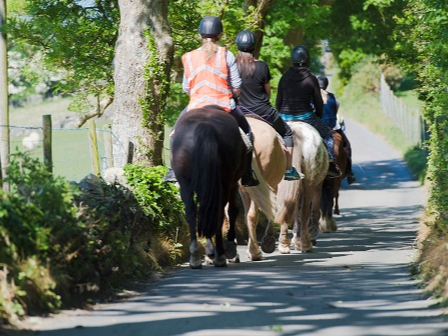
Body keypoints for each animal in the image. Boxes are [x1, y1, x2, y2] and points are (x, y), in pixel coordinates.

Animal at [276, 121, 328, 252]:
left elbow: (295, 211)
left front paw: (296, 237)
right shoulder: (318, 185)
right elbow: (313, 211)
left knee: (285, 207)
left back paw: (282, 244)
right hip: (310, 184)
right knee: (304, 211)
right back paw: (306, 244)